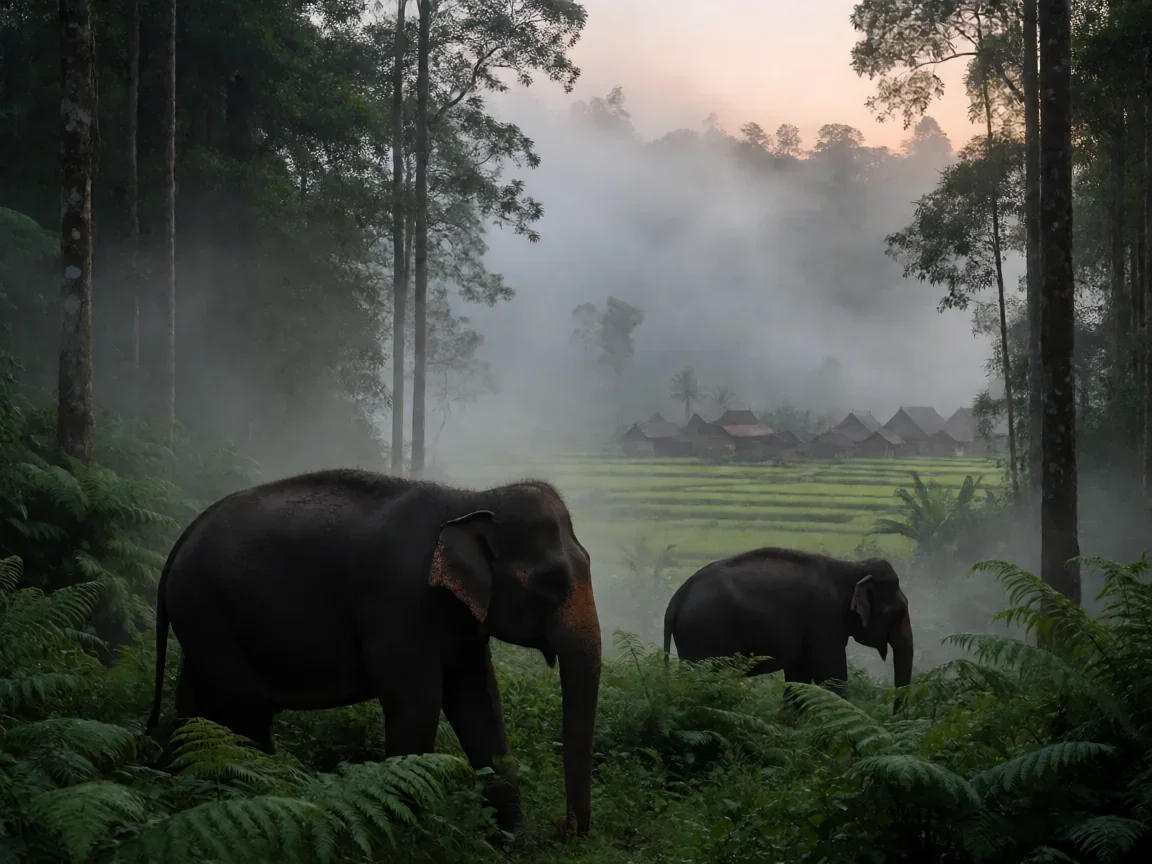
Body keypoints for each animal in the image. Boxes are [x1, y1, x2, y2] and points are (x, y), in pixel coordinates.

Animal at [145, 470, 602, 836]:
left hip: (201, 620)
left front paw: (514, 840)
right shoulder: (399, 601)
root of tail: (182, 537)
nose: (565, 830)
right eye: (552, 583)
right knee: (245, 708)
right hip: (208, 609)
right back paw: (272, 794)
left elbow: (479, 702)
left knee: (196, 705)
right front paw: (409, 835)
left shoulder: (463, 619)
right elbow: (417, 704)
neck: (469, 501)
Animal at [662, 547, 913, 709]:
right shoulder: (823, 619)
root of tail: (676, 599)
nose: (894, 718)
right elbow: (832, 677)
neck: (851, 569)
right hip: (703, 635)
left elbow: (798, 679)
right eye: (898, 612)